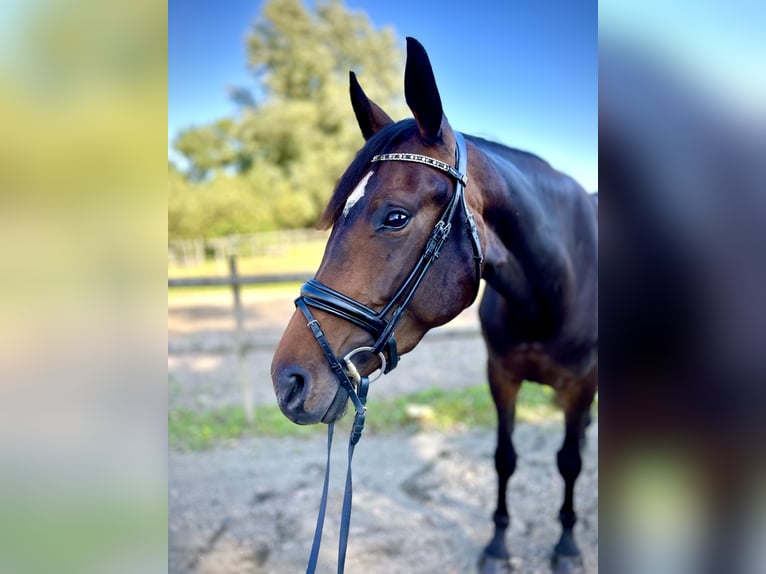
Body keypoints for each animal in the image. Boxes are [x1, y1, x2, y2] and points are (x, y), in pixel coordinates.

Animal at [272, 38, 600, 572]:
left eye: (395, 217)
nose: (288, 382)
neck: (551, 288)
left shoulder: (580, 384)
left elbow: (569, 461)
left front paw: (567, 545)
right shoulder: (501, 375)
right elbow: (504, 458)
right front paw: (497, 544)